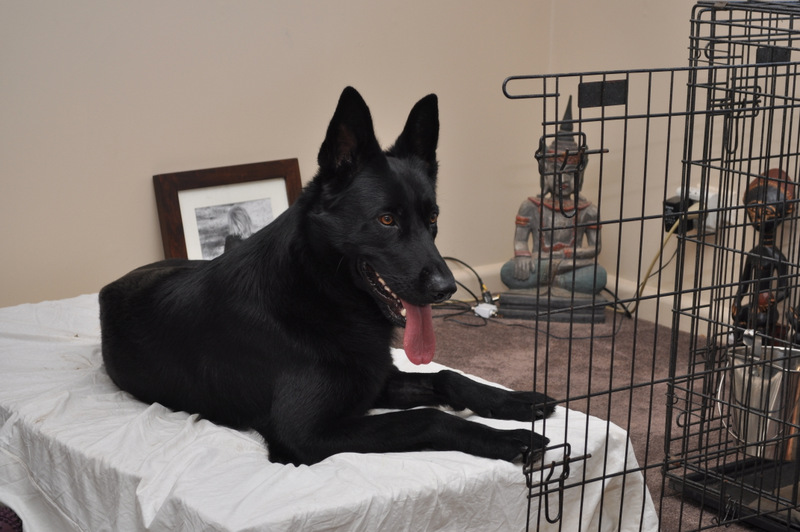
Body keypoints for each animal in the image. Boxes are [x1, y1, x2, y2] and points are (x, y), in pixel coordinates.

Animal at [99, 87, 554, 466]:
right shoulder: (306, 434)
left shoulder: (375, 382)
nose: (446, 289)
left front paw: (517, 401)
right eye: (386, 219)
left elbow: (448, 376)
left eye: (433, 218)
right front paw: (509, 437)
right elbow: (428, 417)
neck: (318, 290)